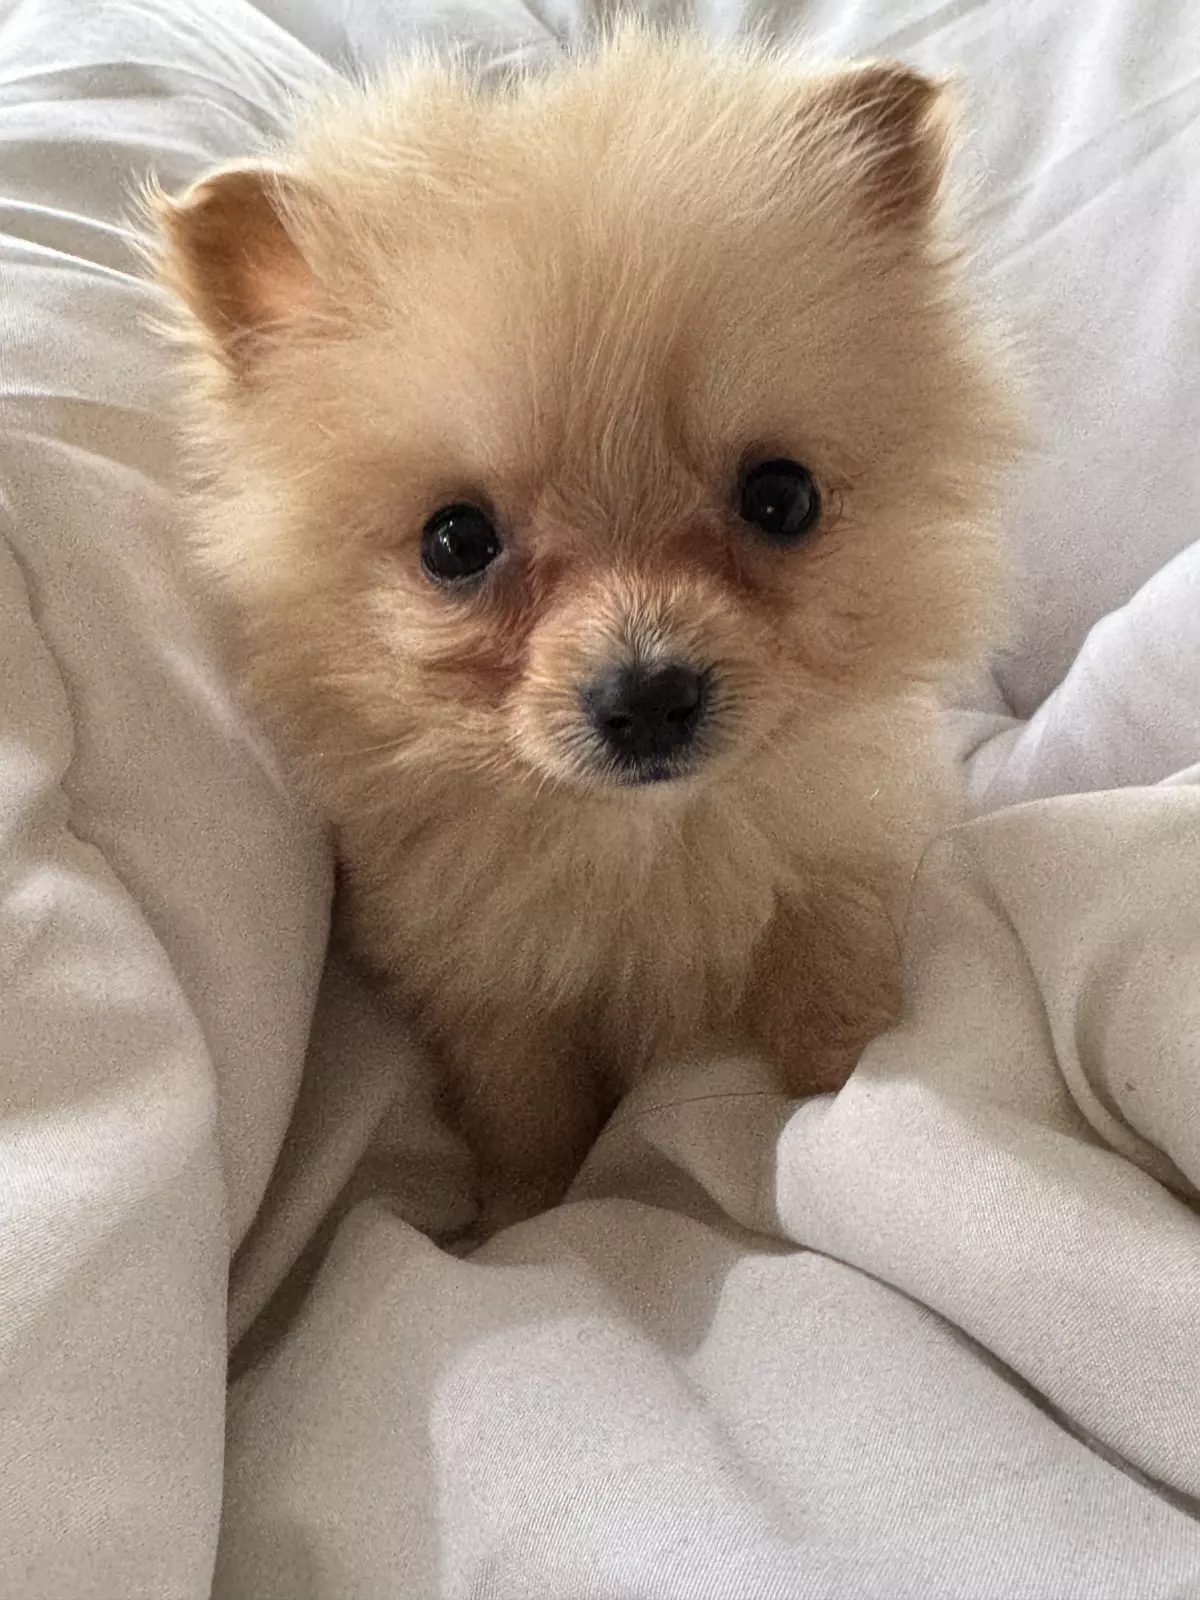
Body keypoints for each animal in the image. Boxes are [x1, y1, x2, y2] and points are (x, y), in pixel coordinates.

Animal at [149, 23, 1020, 1230]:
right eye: (456, 541)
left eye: (781, 498)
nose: (648, 694)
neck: (647, 843)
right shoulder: (489, 976)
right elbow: (526, 1098)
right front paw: (519, 1215)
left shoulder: (845, 867)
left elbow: (834, 989)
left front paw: (844, 1106)